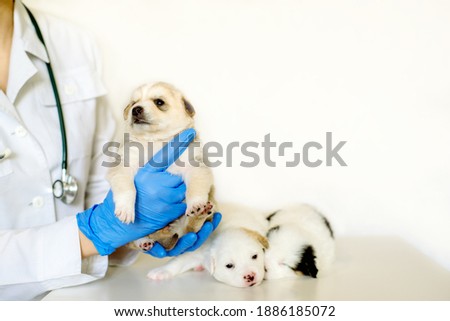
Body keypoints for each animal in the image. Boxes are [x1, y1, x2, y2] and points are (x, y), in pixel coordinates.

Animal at [108, 82, 214, 250]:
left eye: (159, 102)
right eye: (133, 103)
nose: (135, 109)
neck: (156, 141)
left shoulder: (194, 166)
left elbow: (195, 188)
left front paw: (196, 204)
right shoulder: (124, 163)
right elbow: (127, 188)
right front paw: (125, 209)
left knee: (191, 228)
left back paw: (201, 213)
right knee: (136, 237)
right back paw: (144, 241)